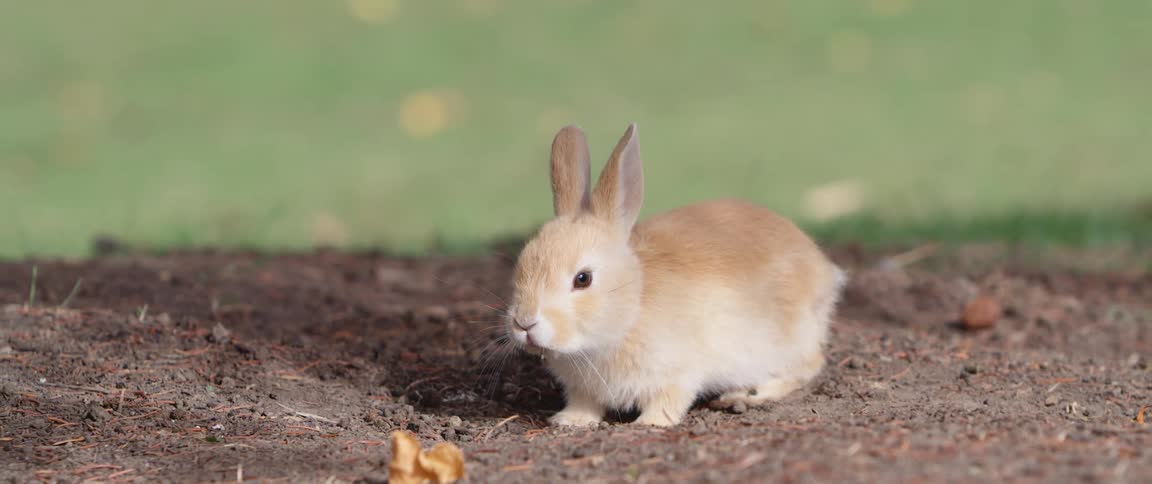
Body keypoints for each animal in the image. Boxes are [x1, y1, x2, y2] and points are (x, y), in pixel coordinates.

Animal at [505, 123, 846, 427]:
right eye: (522, 264)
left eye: (583, 279)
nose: (524, 323)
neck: (631, 308)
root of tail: (823, 271)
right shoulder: (582, 389)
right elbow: (584, 403)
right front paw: (570, 421)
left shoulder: (679, 372)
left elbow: (670, 399)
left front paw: (650, 423)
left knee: (807, 367)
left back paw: (745, 395)